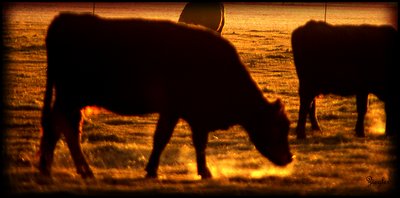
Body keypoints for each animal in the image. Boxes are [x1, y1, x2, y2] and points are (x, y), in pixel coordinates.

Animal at [39, 12, 292, 179]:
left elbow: (196, 143)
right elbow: (163, 139)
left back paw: (64, 169)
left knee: (65, 128)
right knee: (61, 128)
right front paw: (156, 170)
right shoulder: (176, 110)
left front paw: (201, 170)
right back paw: (65, 169)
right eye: (278, 127)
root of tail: (66, 18)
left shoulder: (193, 116)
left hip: (72, 100)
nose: (290, 158)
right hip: (69, 97)